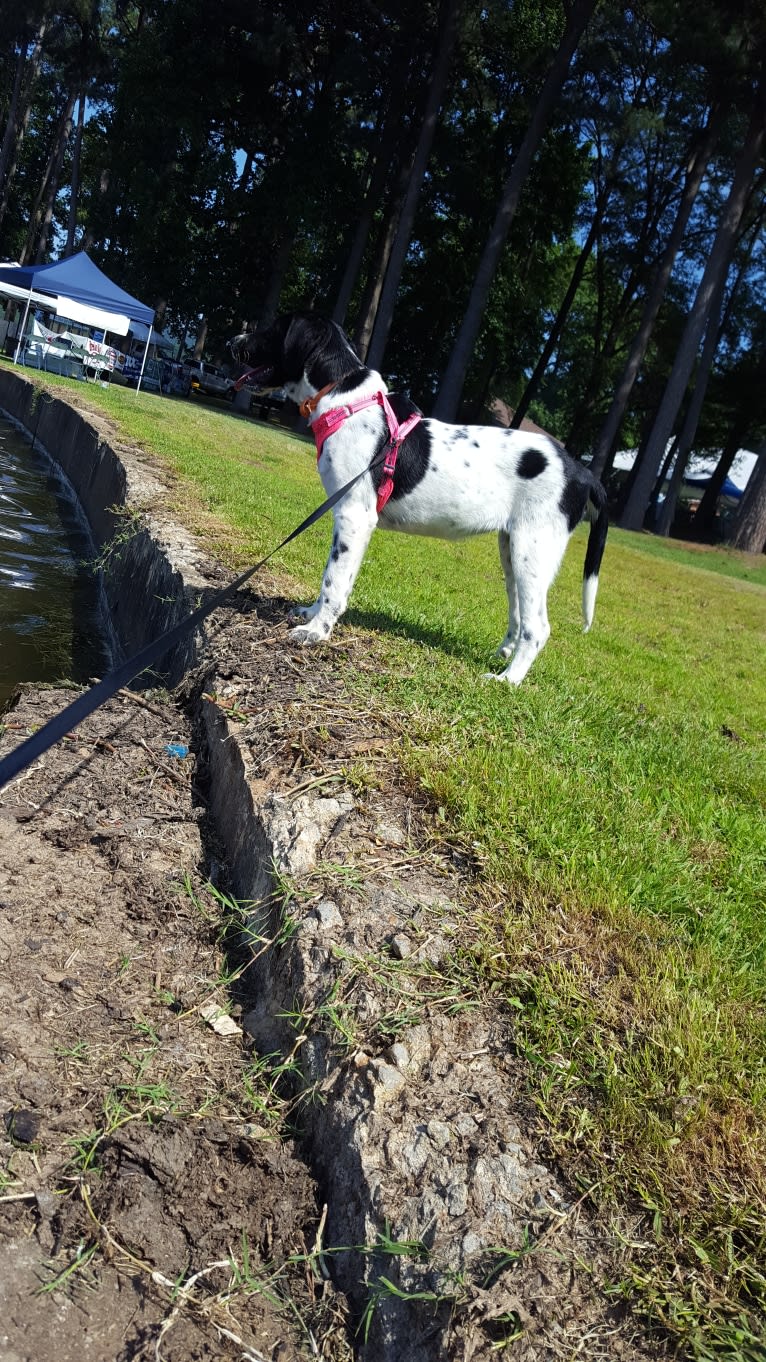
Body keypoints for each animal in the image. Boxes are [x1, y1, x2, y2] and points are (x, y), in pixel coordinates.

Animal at [228, 313, 605, 686]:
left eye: (272, 329)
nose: (232, 341)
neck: (344, 400)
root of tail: (581, 471)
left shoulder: (354, 515)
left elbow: (333, 581)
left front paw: (315, 631)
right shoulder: (356, 523)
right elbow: (337, 581)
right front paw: (311, 614)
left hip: (534, 551)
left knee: (537, 627)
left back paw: (507, 679)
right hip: (512, 550)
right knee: (518, 616)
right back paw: (503, 656)